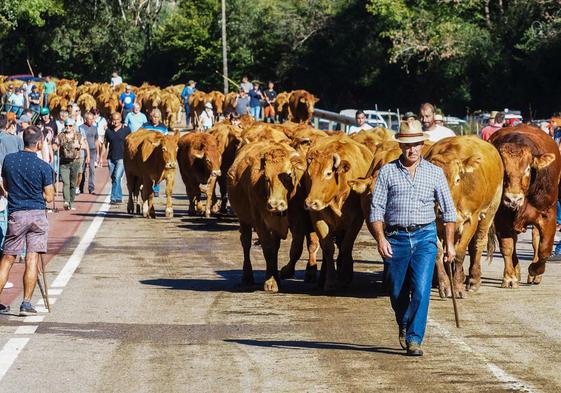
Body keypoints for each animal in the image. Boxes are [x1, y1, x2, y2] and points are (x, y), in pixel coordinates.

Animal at [225, 141, 318, 290]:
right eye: (266, 178)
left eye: (288, 175)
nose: (275, 205)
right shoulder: (260, 223)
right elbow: (268, 249)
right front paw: (271, 281)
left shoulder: (298, 220)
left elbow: (296, 248)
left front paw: (286, 271)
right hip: (244, 219)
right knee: (246, 243)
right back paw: (247, 276)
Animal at [302, 133, 372, 290]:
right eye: (309, 174)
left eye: (328, 173)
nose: (310, 202)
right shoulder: (317, 218)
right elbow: (328, 248)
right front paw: (330, 281)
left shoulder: (356, 221)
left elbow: (346, 246)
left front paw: (344, 277)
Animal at [424, 136, 504, 298]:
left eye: (457, 180)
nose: (441, 210)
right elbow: (439, 252)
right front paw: (445, 285)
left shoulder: (471, 219)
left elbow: (460, 253)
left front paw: (458, 287)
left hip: (490, 211)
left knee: (478, 243)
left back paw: (473, 280)